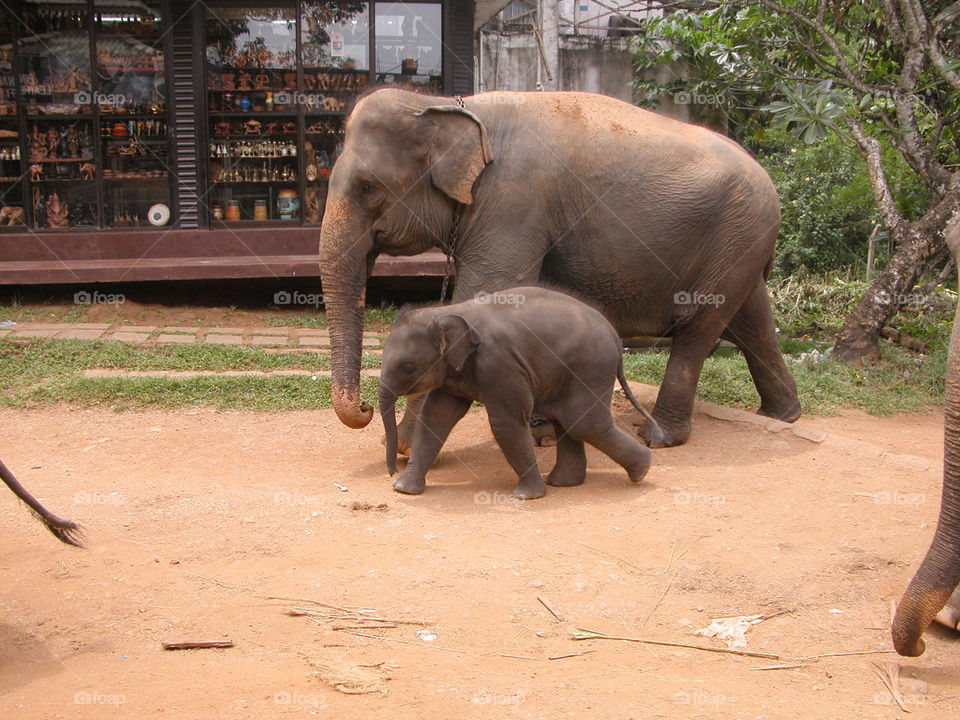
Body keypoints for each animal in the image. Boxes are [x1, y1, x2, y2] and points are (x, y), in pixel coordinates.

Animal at [322, 88, 804, 444]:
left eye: (367, 187)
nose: (364, 408)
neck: (449, 104)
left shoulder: (512, 202)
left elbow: (485, 293)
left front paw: (406, 446)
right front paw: (542, 433)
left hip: (736, 234)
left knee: (699, 327)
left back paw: (661, 436)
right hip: (742, 242)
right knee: (752, 319)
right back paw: (781, 416)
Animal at [378, 286, 664, 500]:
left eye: (407, 367)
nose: (390, 473)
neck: (447, 311)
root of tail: (616, 338)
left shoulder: (500, 364)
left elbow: (505, 423)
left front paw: (526, 496)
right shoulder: (454, 372)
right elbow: (436, 417)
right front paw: (404, 489)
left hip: (591, 368)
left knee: (583, 423)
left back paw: (641, 470)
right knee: (568, 422)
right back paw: (565, 483)